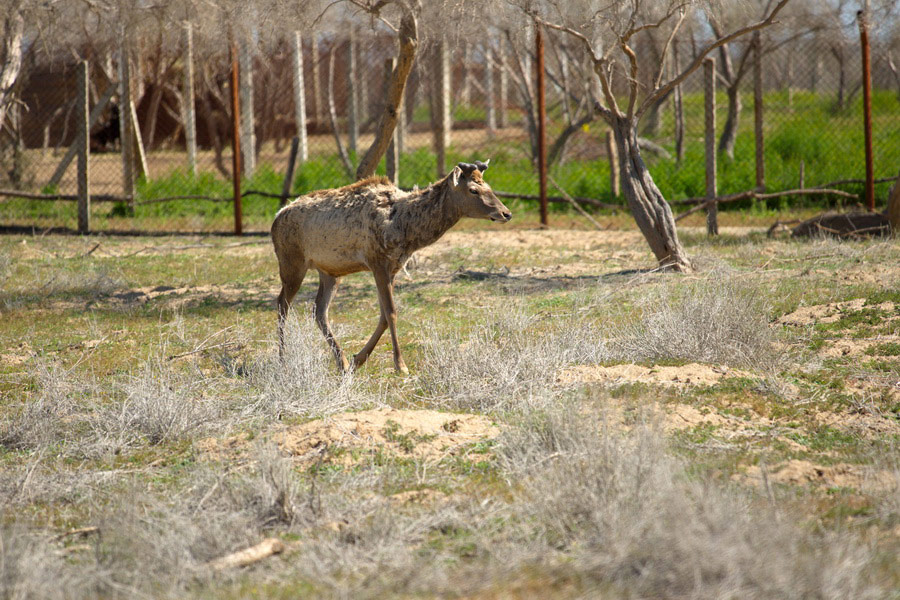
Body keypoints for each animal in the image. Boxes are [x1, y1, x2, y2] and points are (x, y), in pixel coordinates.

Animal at [270, 162, 510, 372]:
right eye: (473, 190)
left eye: (489, 187)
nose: (506, 213)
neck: (407, 229)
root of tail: (276, 218)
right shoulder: (377, 262)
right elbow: (392, 312)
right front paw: (400, 365)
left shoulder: (393, 267)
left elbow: (384, 315)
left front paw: (358, 360)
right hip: (291, 261)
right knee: (282, 303)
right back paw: (282, 359)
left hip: (329, 271)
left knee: (319, 310)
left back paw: (342, 361)